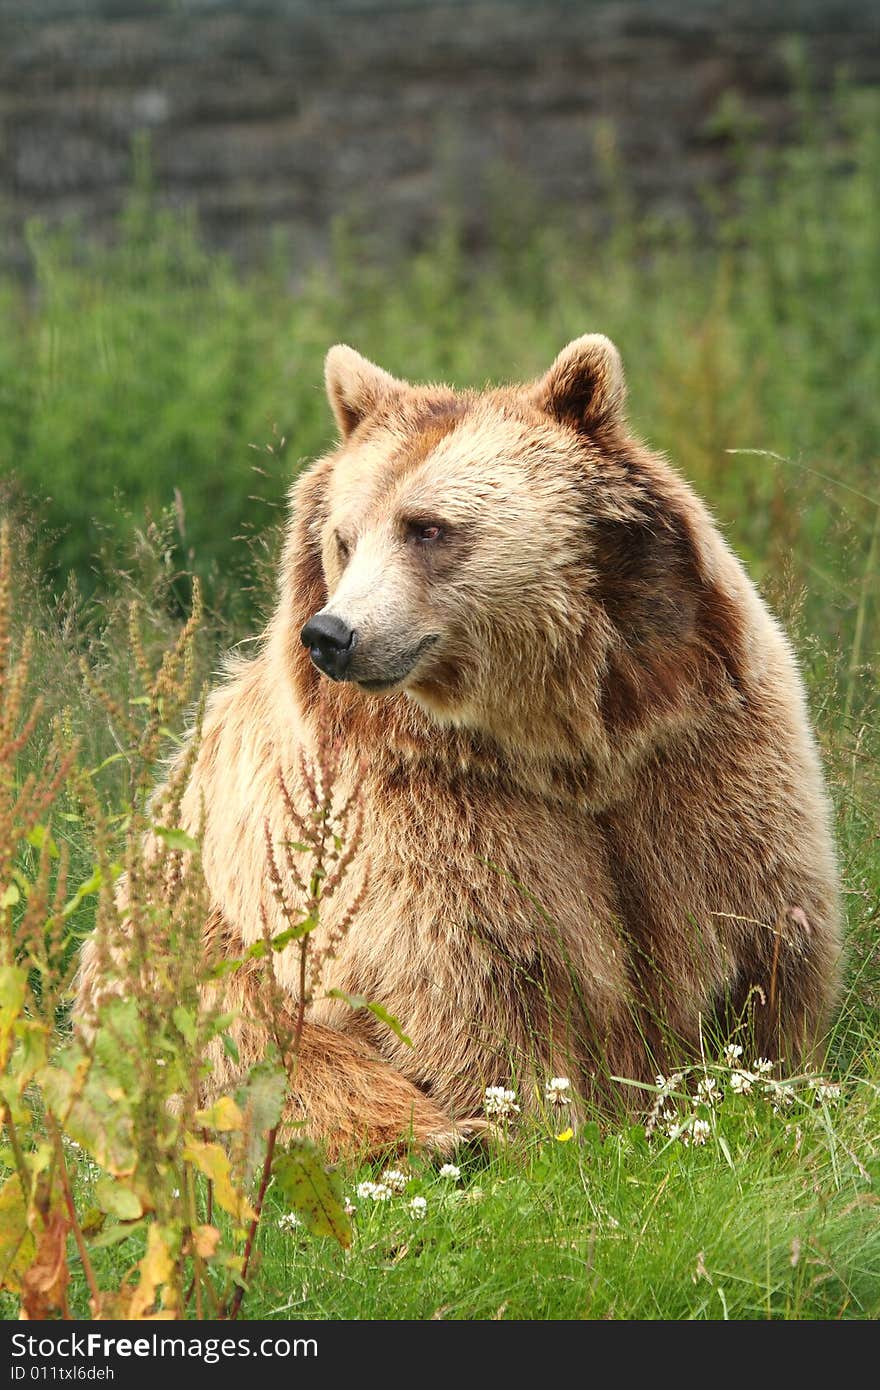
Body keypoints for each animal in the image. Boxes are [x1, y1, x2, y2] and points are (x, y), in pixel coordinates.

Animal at [75, 333, 845, 1150]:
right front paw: (528, 1120)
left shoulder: (693, 742)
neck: (559, 736)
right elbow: (477, 971)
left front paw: (764, 1075)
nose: (332, 635)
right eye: (343, 538)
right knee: (261, 1058)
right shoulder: (419, 804)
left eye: (427, 528)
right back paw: (437, 1137)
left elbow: (755, 917)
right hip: (183, 957)